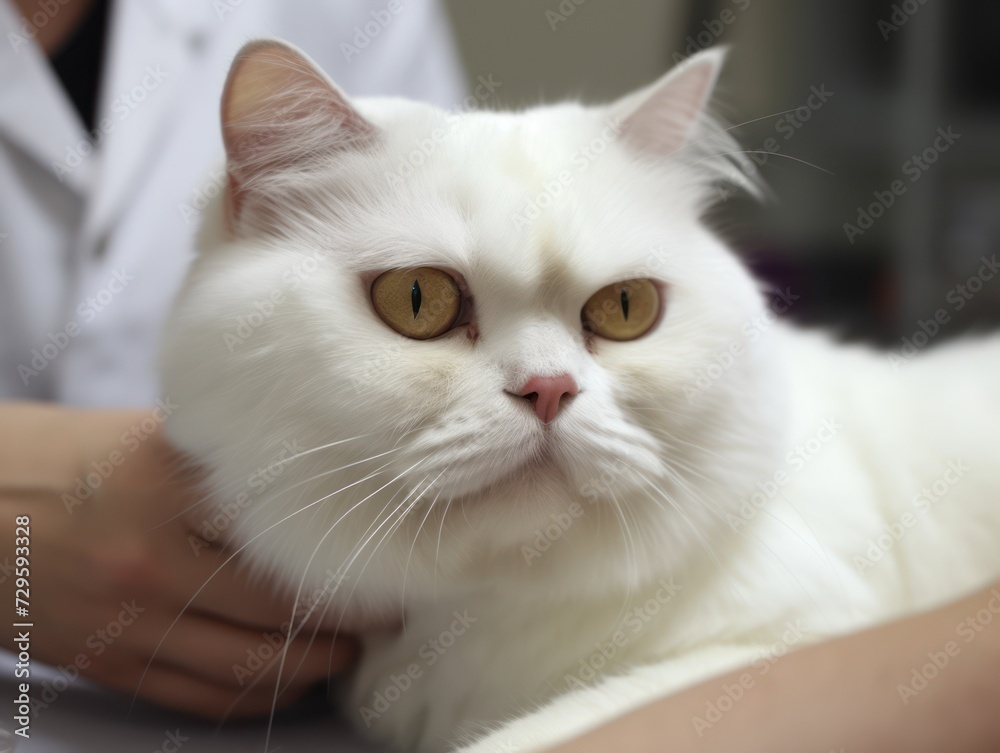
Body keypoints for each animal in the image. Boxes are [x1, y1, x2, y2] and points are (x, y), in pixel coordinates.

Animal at [162, 42, 1000, 752]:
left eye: (626, 308)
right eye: (417, 298)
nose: (547, 388)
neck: (485, 619)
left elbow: (539, 735)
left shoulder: (793, 638)